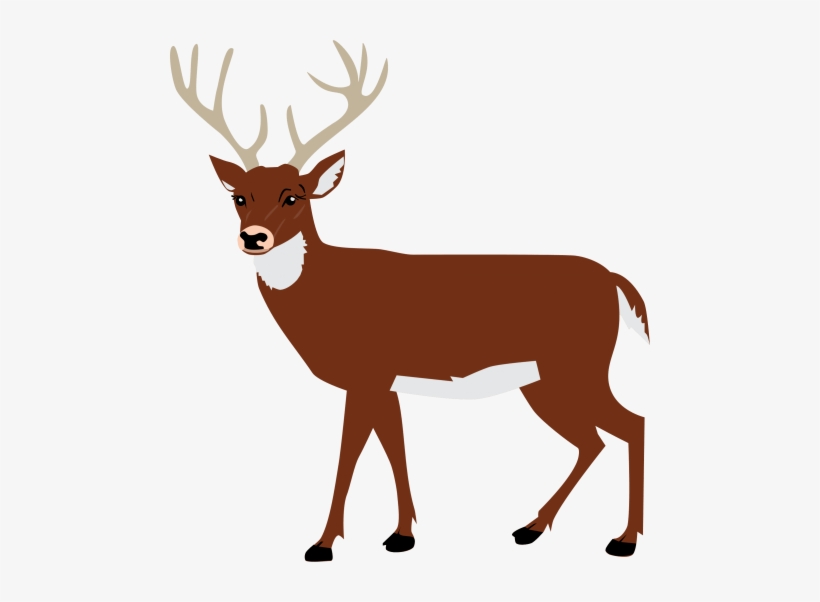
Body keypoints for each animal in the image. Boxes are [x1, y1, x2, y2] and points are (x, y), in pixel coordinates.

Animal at [170, 42, 650, 563]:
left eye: (294, 196)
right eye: (238, 197)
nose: (253, 237)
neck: (327, 294)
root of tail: (614, 281)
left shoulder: (367, 373)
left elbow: (349, 454)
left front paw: (322, 543)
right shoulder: (386, 381)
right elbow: (395, 448)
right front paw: (402, 535)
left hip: (578, 365)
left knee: (632, 425)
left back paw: (623, 540)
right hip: (544, 381)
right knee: (594, 442)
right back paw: (531, 527)